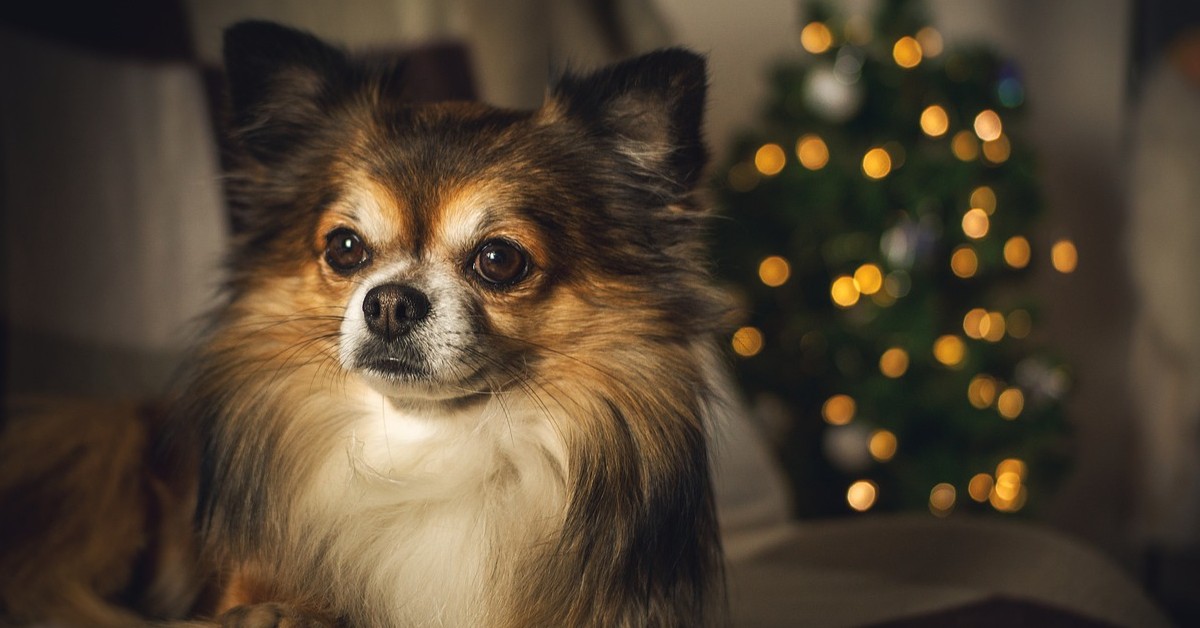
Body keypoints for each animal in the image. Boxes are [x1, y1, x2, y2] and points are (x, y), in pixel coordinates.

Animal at [4, 20, 724, 628]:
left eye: (499, 260)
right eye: (345, 248)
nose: (389, 302)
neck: (428, 444)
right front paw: (278, 614)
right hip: (102, 441)